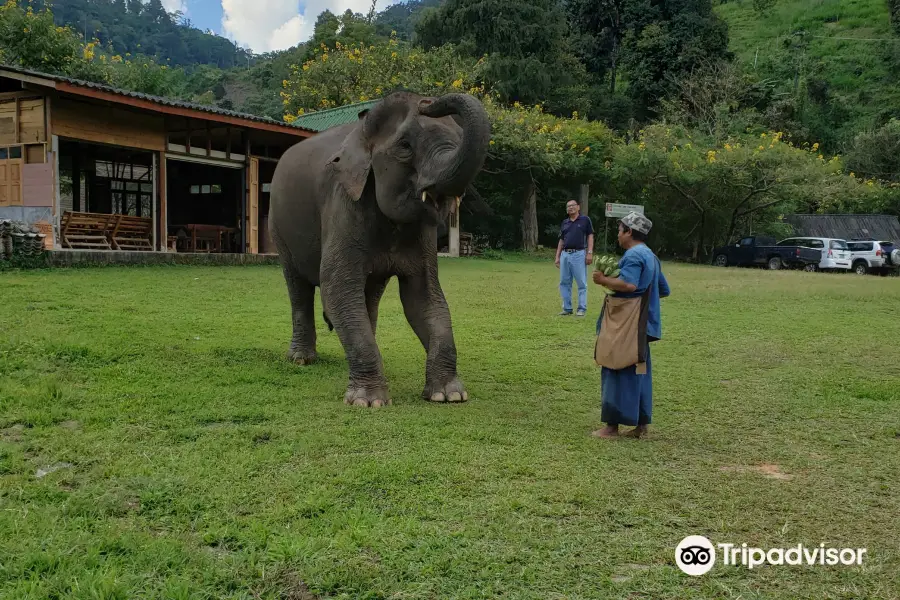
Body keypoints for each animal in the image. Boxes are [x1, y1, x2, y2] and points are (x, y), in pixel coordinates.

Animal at [268, 90, 492, 408]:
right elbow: (337, 287)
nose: (426, 101)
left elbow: (424, 297)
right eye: (405, 145)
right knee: (298, 286)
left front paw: (449, 395)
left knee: (368, 295)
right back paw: (301, 359)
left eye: (458, 136)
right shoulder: (344, 206)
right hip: (279, 228)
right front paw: (368, 402)